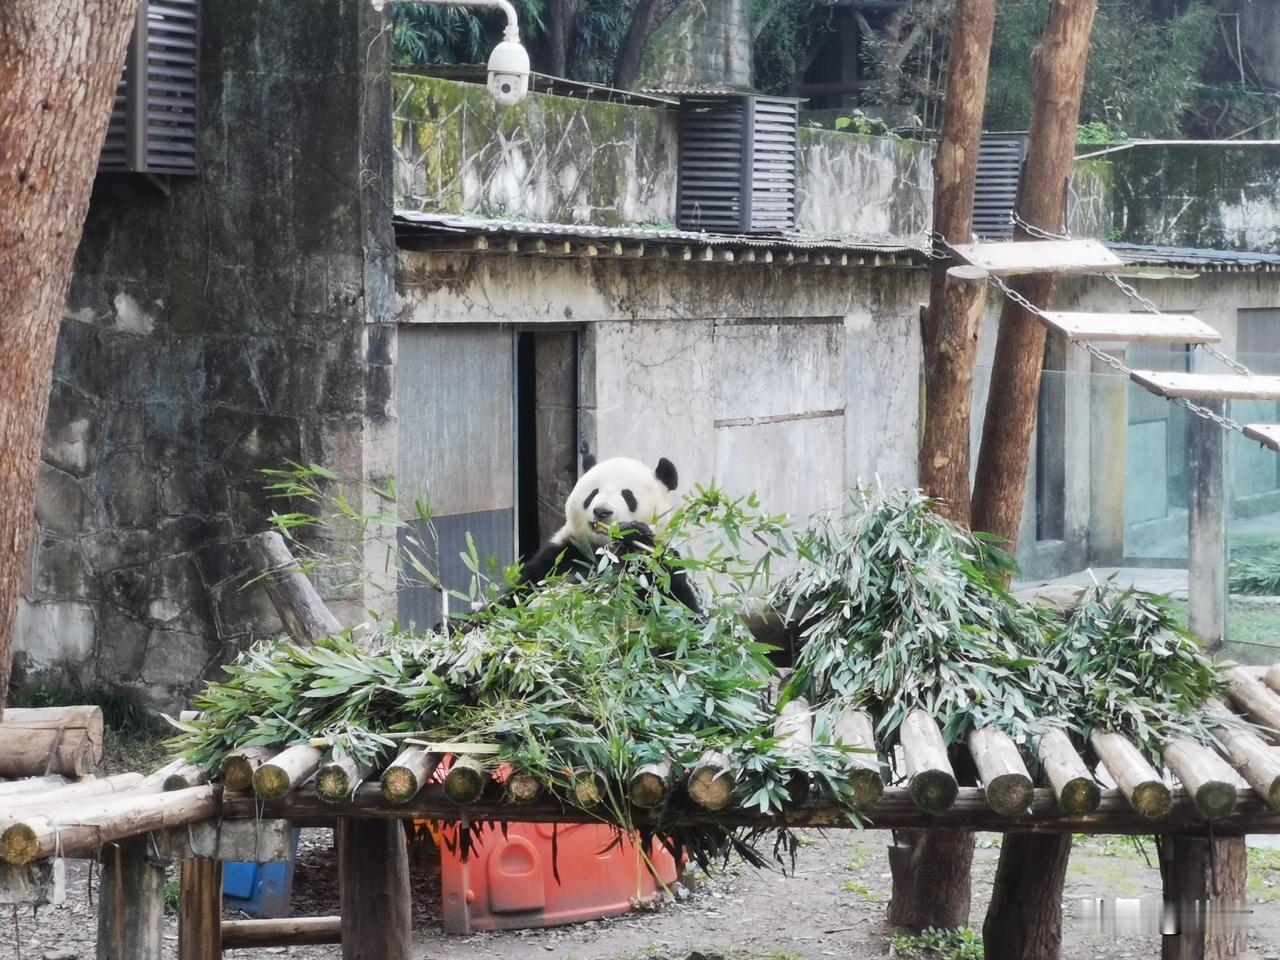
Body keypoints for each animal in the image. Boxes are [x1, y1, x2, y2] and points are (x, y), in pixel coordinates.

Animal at [509, 458, 701, 616]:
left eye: (628, 496)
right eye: (593, 493)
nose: (602, 511)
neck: (606, 551)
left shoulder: (665, 562)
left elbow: (676, 603)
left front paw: (634, 533)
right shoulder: (563, 553)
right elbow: (521, 590)